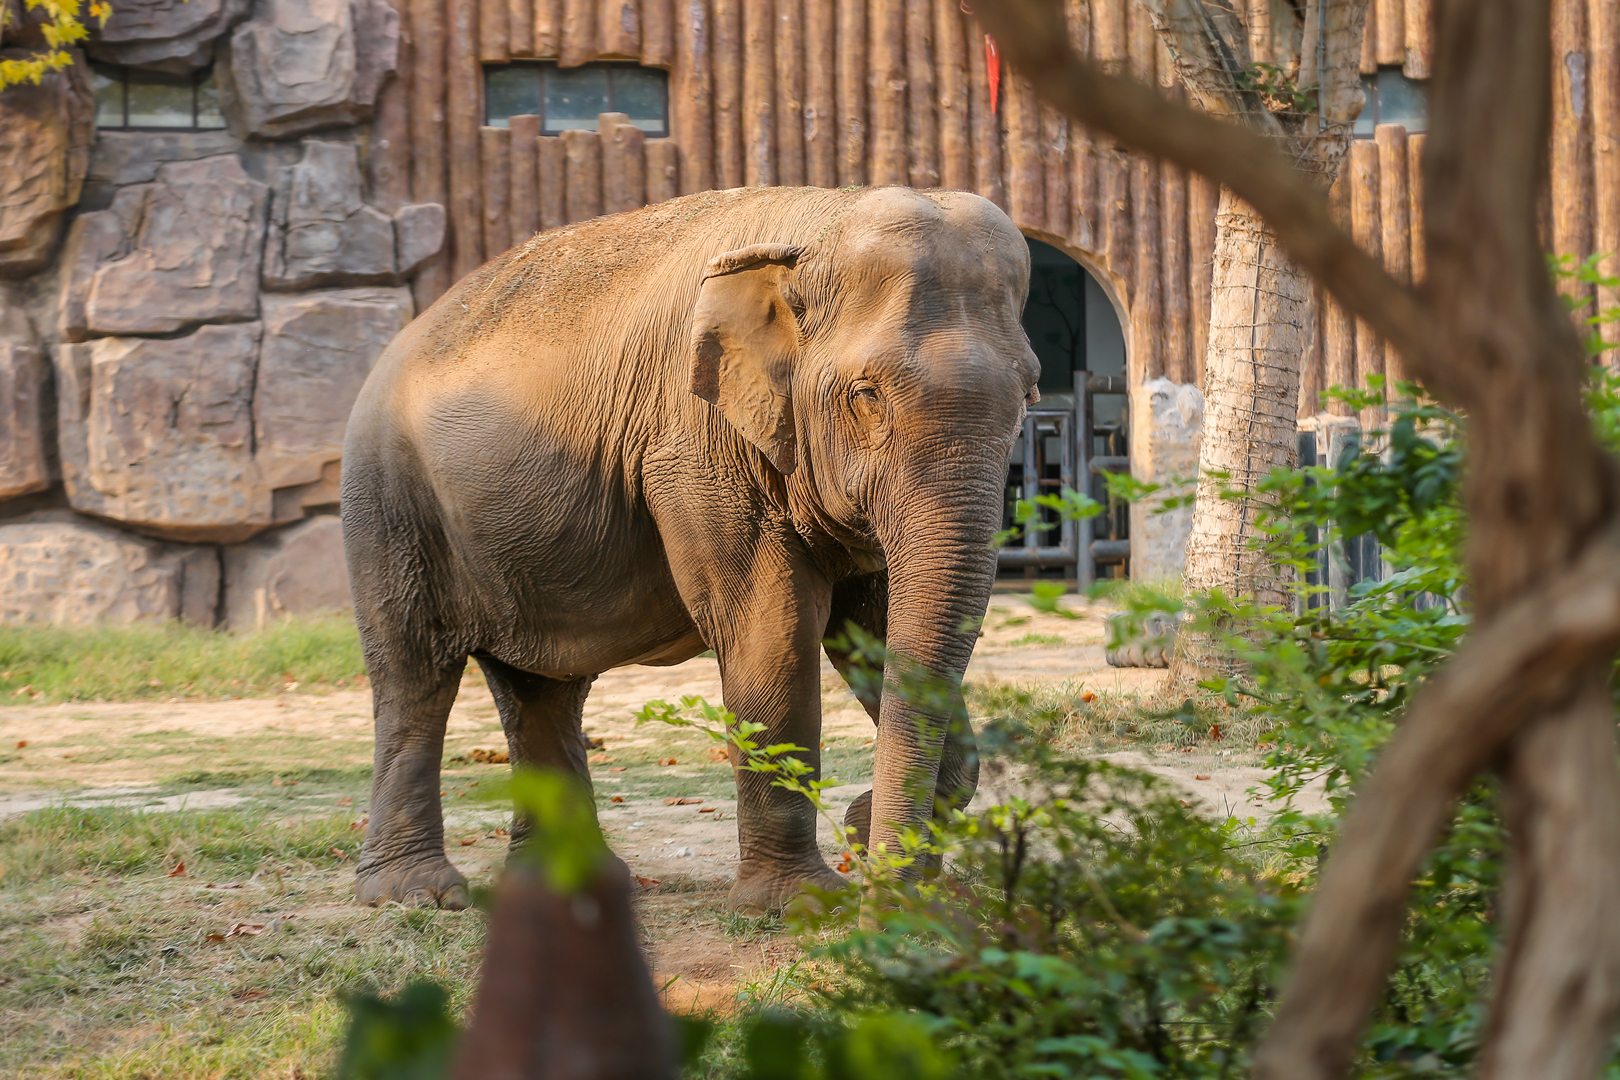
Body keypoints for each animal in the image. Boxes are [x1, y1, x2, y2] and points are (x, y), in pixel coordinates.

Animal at [340, 184, 1039, 912]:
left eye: (1029, 394)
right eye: (866, 394)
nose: (870, 856)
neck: (819, 220)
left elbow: (871, 628)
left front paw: (890, 856)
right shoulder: (694, 448)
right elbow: (773, 629)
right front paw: (799, 902)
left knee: (541, 690)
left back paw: (566, 888)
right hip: (389, 504)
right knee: (414, 676)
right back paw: (416, 893)